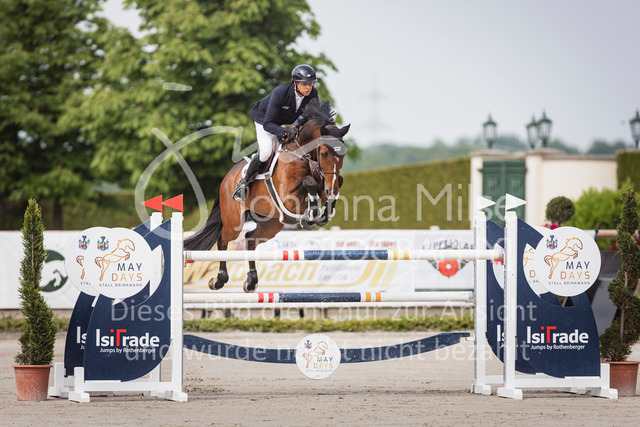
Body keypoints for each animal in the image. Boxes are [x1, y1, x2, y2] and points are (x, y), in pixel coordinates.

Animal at [184, 99, 350, 292]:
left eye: (343, 154)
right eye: (324, 153)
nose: (332, 191)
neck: (301, 155)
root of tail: (228, 176)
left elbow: (336, 182)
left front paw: (323, 213)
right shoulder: (288, 198)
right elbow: (308, 183)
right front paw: (311, 215)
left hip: (270, 223)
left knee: (250, 239)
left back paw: (251, 281)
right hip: (234, 222)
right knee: (223, 240)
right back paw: (219, 279)